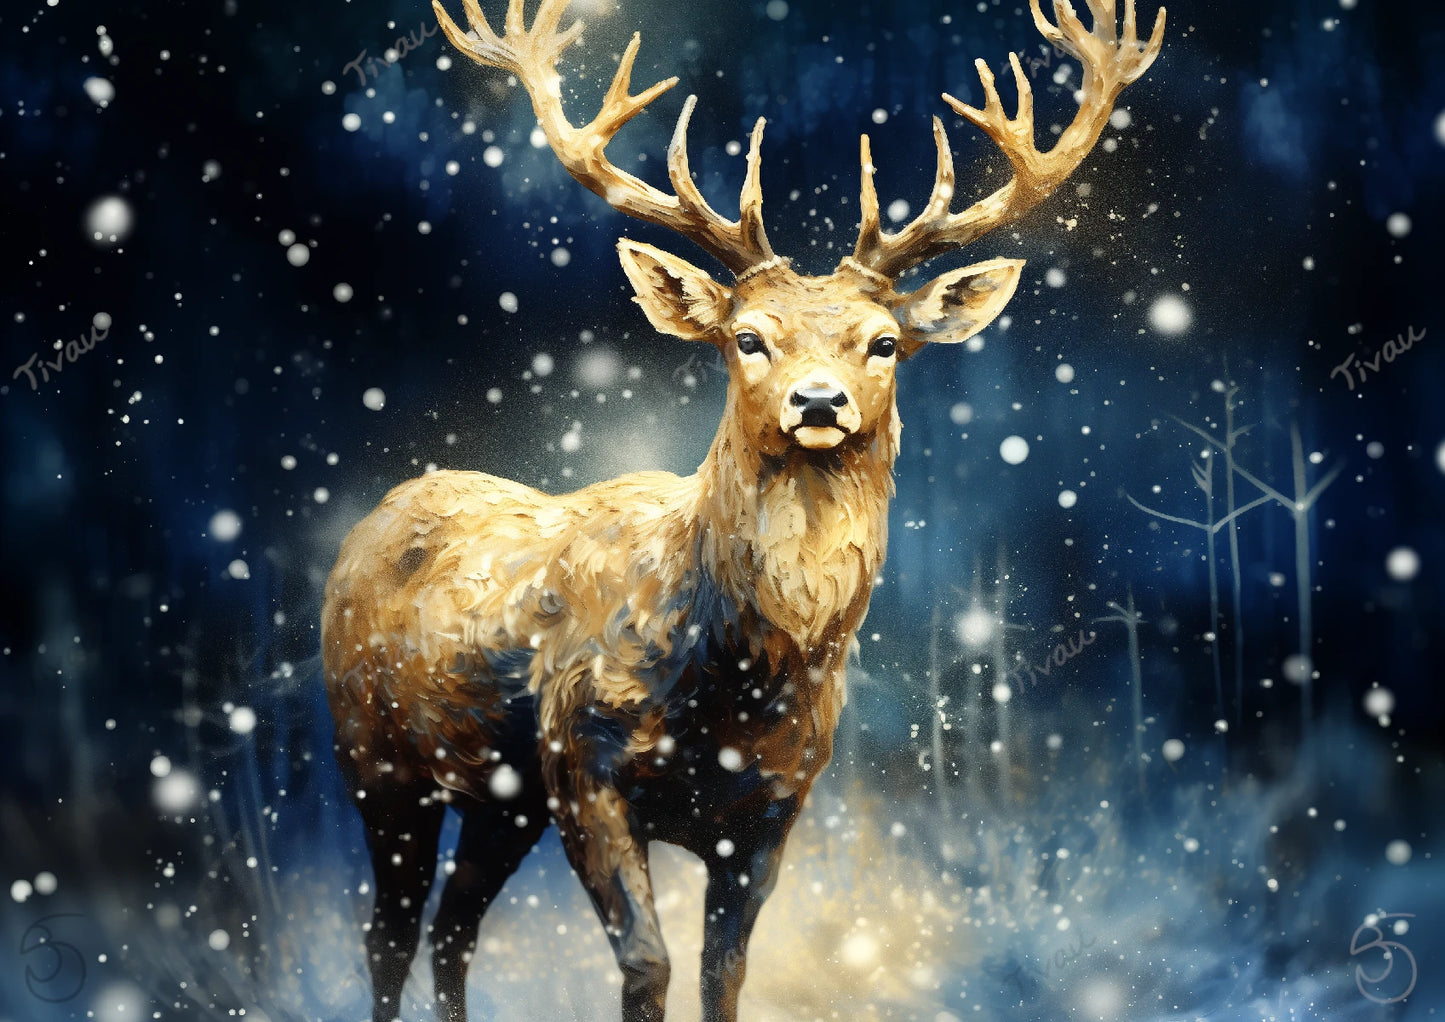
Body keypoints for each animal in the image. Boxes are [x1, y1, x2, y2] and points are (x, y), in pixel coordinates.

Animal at [320, 0, 1164, 1019]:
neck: (730, 683)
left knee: (452, 926)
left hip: (496, 796)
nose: (818, 401)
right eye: (747, 337)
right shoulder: (581, 759)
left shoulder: (772, 806)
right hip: (377, 760)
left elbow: (723, 973)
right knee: (389, 933)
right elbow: (647, 964)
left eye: (884, 342)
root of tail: (379, 512)